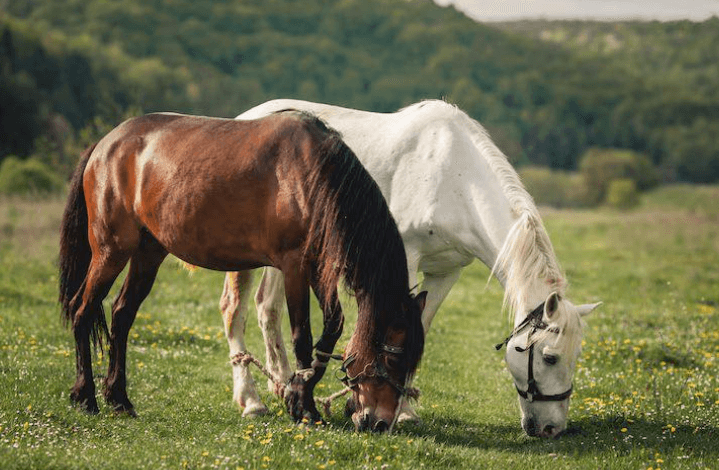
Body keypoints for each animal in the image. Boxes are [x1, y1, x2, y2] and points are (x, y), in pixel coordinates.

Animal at [58, 110, 426, 432]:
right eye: (393, 358)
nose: (380, 422)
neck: (313, 175)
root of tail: (105, 144)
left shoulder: (318, 269)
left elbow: (332, 327)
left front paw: (298, 394)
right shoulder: (294, 267)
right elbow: (302, 337)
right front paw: (304, 407)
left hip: (148, 254)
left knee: (121, 316)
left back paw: (119, 399)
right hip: (111, 252)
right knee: (82, 311)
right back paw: (86, 396)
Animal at [220, 99, 601, 438]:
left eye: (576, 355)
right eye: (550, 358)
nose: (552, 428)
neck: (455, 179)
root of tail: (246, 117)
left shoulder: (447, 272)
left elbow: (422, 327)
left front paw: (403, 408)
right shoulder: (404, 261)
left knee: (267, 309)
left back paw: (284, 385)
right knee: (234, 310)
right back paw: (251, 400)